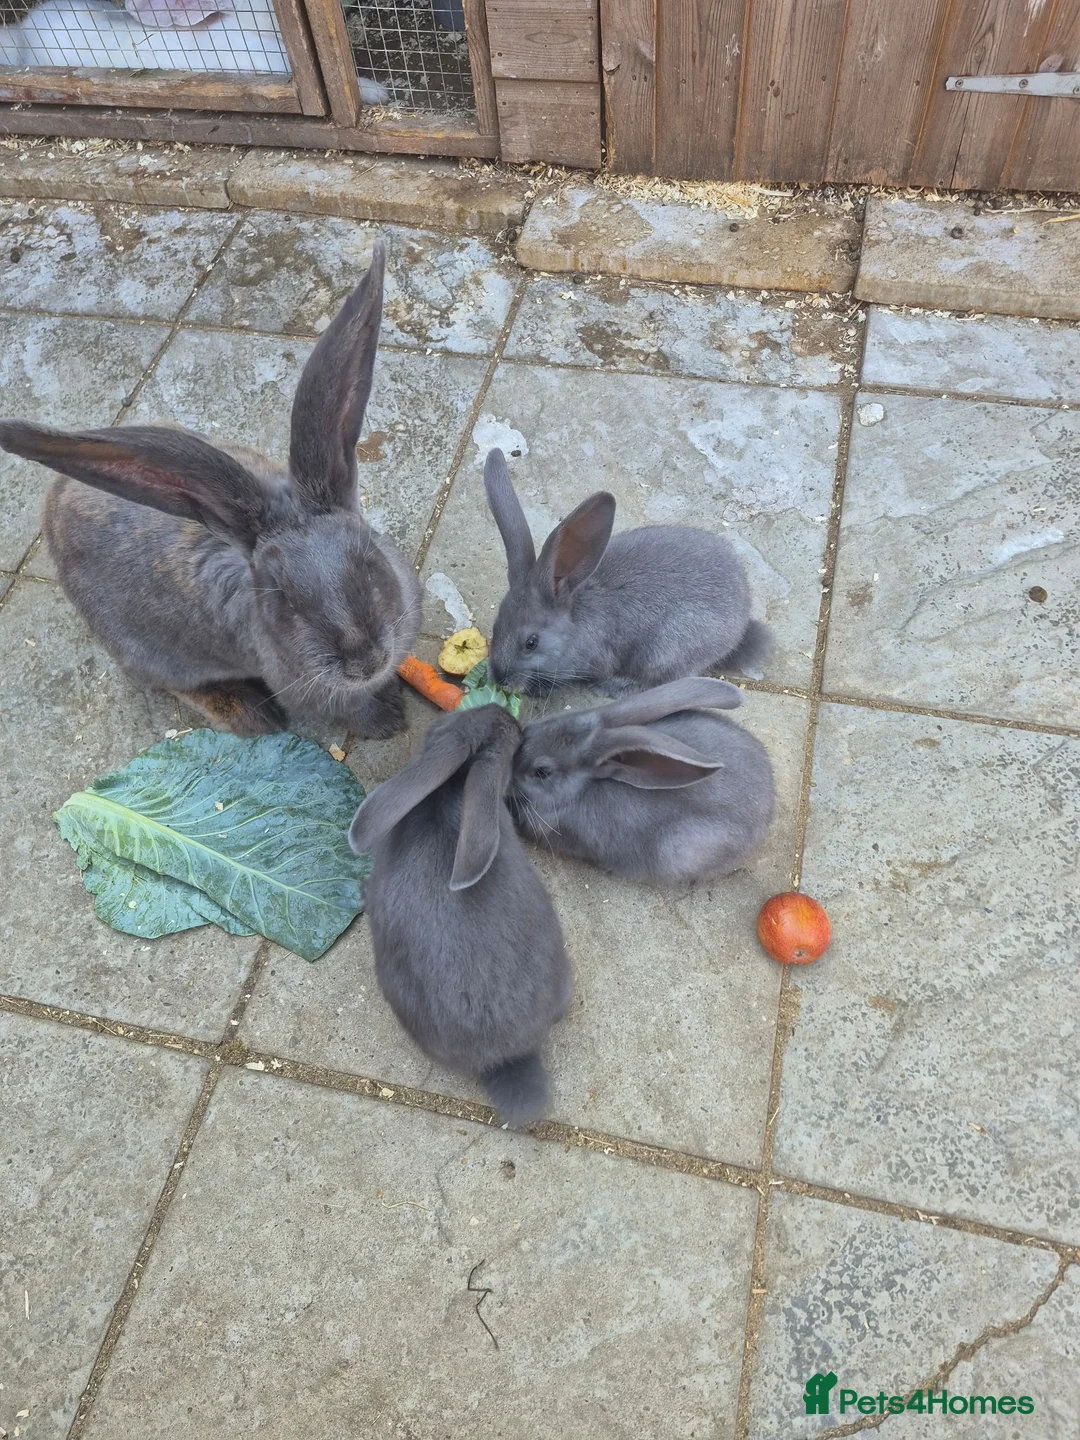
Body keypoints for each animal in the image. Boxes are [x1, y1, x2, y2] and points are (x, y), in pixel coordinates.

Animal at [0, 241, 419, 740]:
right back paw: (252, 714)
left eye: (369, 561)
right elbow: (347, 711)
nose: (365, 661)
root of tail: (54, 502)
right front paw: (388, 719)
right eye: (283, 597)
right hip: (152, 657)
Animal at [482, 447, 774, 696]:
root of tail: (739, 629)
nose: (499, 678)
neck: (573, 625)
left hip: (666, 649)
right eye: (496, 626)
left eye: (531, 642)